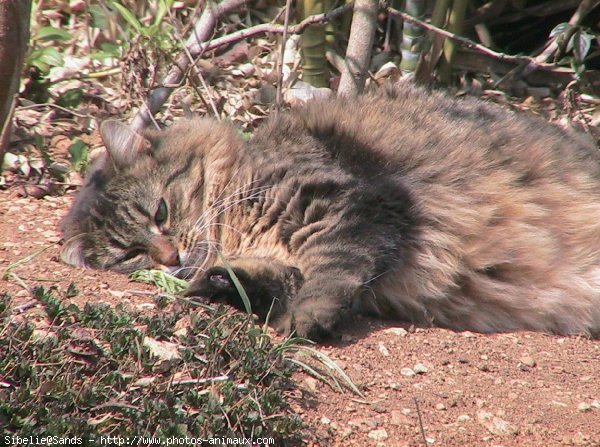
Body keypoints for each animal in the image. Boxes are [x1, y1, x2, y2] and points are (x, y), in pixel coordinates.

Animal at [59, 84, 600, 340]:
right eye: (130, 255)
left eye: (161, 211)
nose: (170, 258)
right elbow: (267, 280)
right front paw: (219, 283)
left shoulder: (352, 203)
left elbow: (332, 268)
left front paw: (307, 319)